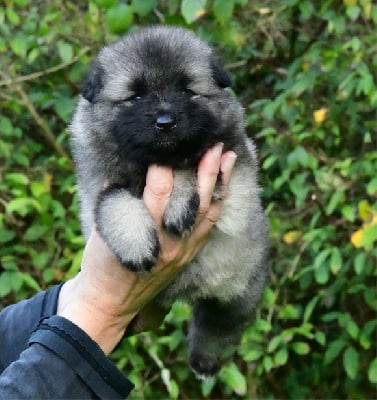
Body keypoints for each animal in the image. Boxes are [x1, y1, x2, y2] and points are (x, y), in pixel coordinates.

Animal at [70, 25, 268, 378]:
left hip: (238, 290)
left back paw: (204, 361)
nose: (165, 122)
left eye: (186, 90)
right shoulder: (96, 186)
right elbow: (111, 198)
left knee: (217, 327)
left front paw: (178, 201)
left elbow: (185, 167)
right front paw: (135, 242)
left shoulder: (229, 163)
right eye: (135, 96)